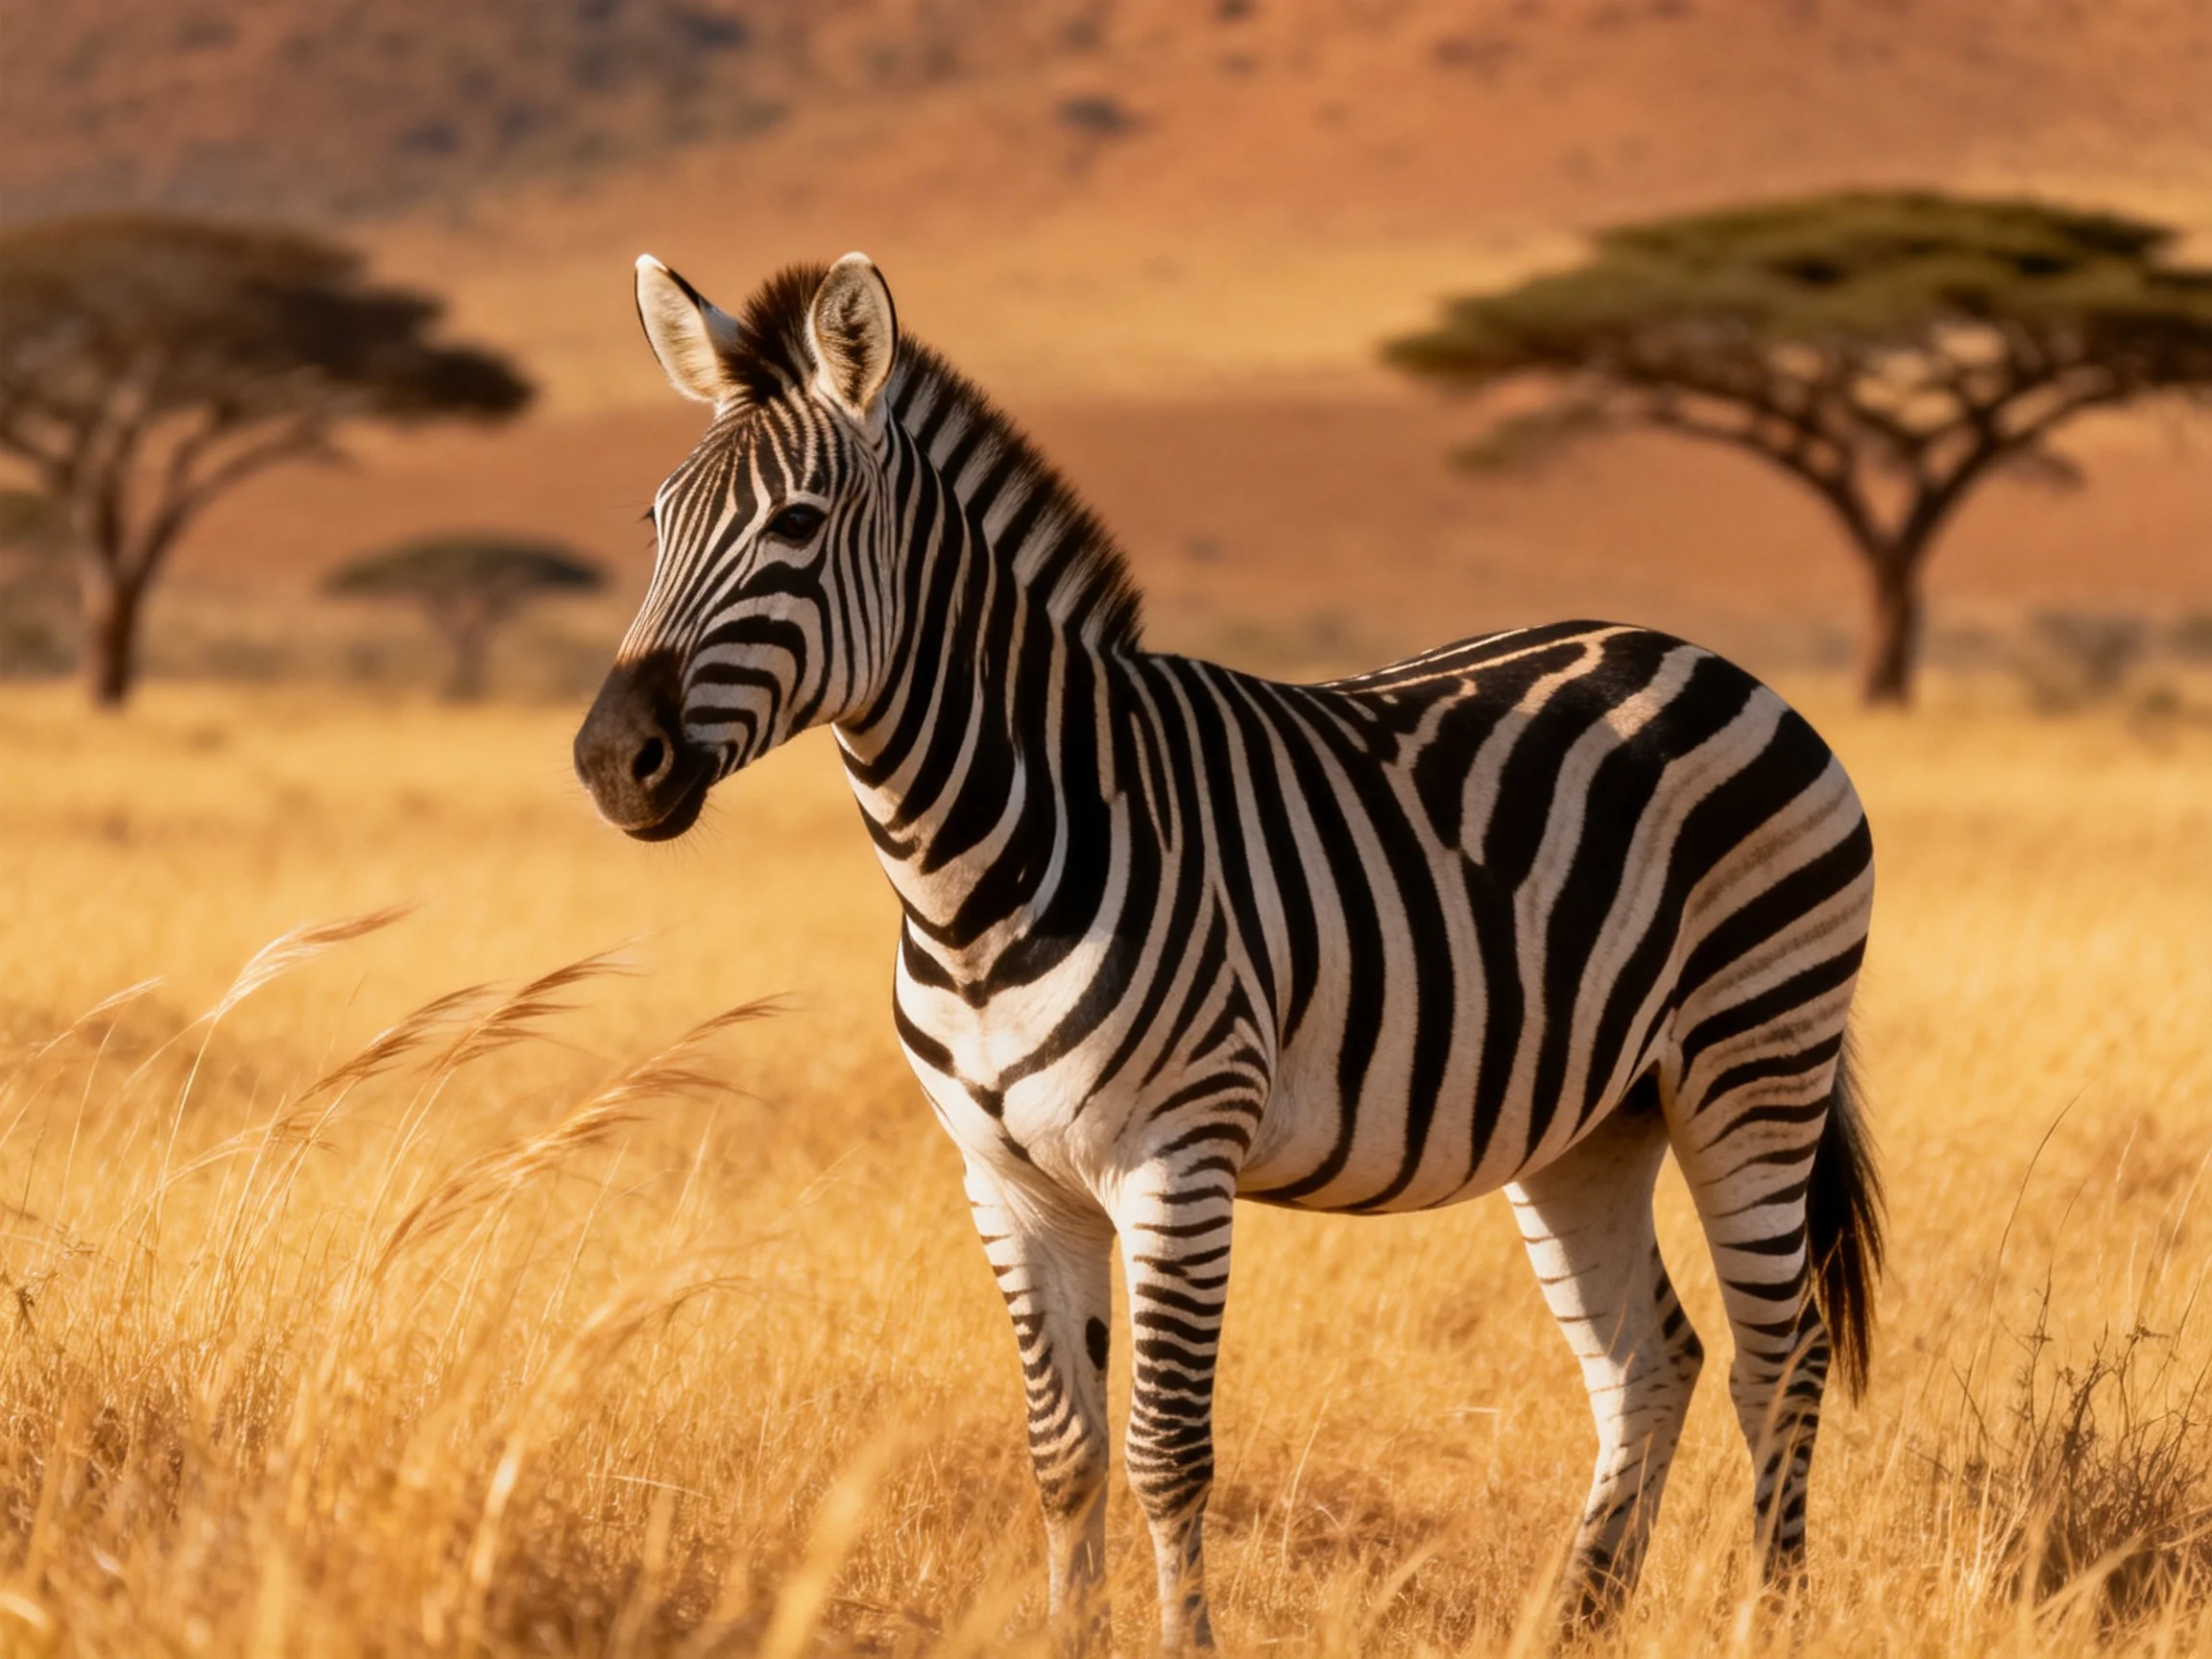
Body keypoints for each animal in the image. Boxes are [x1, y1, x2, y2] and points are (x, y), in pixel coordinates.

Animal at [575, 253, 1884, 1653]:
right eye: (655, 522)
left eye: (800, 524)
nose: (611, 761)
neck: (975, 875)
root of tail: (1701, 657)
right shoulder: (1004, 1181)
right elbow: (1063, 1451)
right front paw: (1069, 1633)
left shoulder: (1177, 1159)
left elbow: (1166, 1450)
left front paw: (1181, 1641)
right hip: (1594, 1120)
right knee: (1647, 1361)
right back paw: (1577, 1622)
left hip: (1754, 1060)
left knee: (1778, 1357)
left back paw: (1769, 1622)